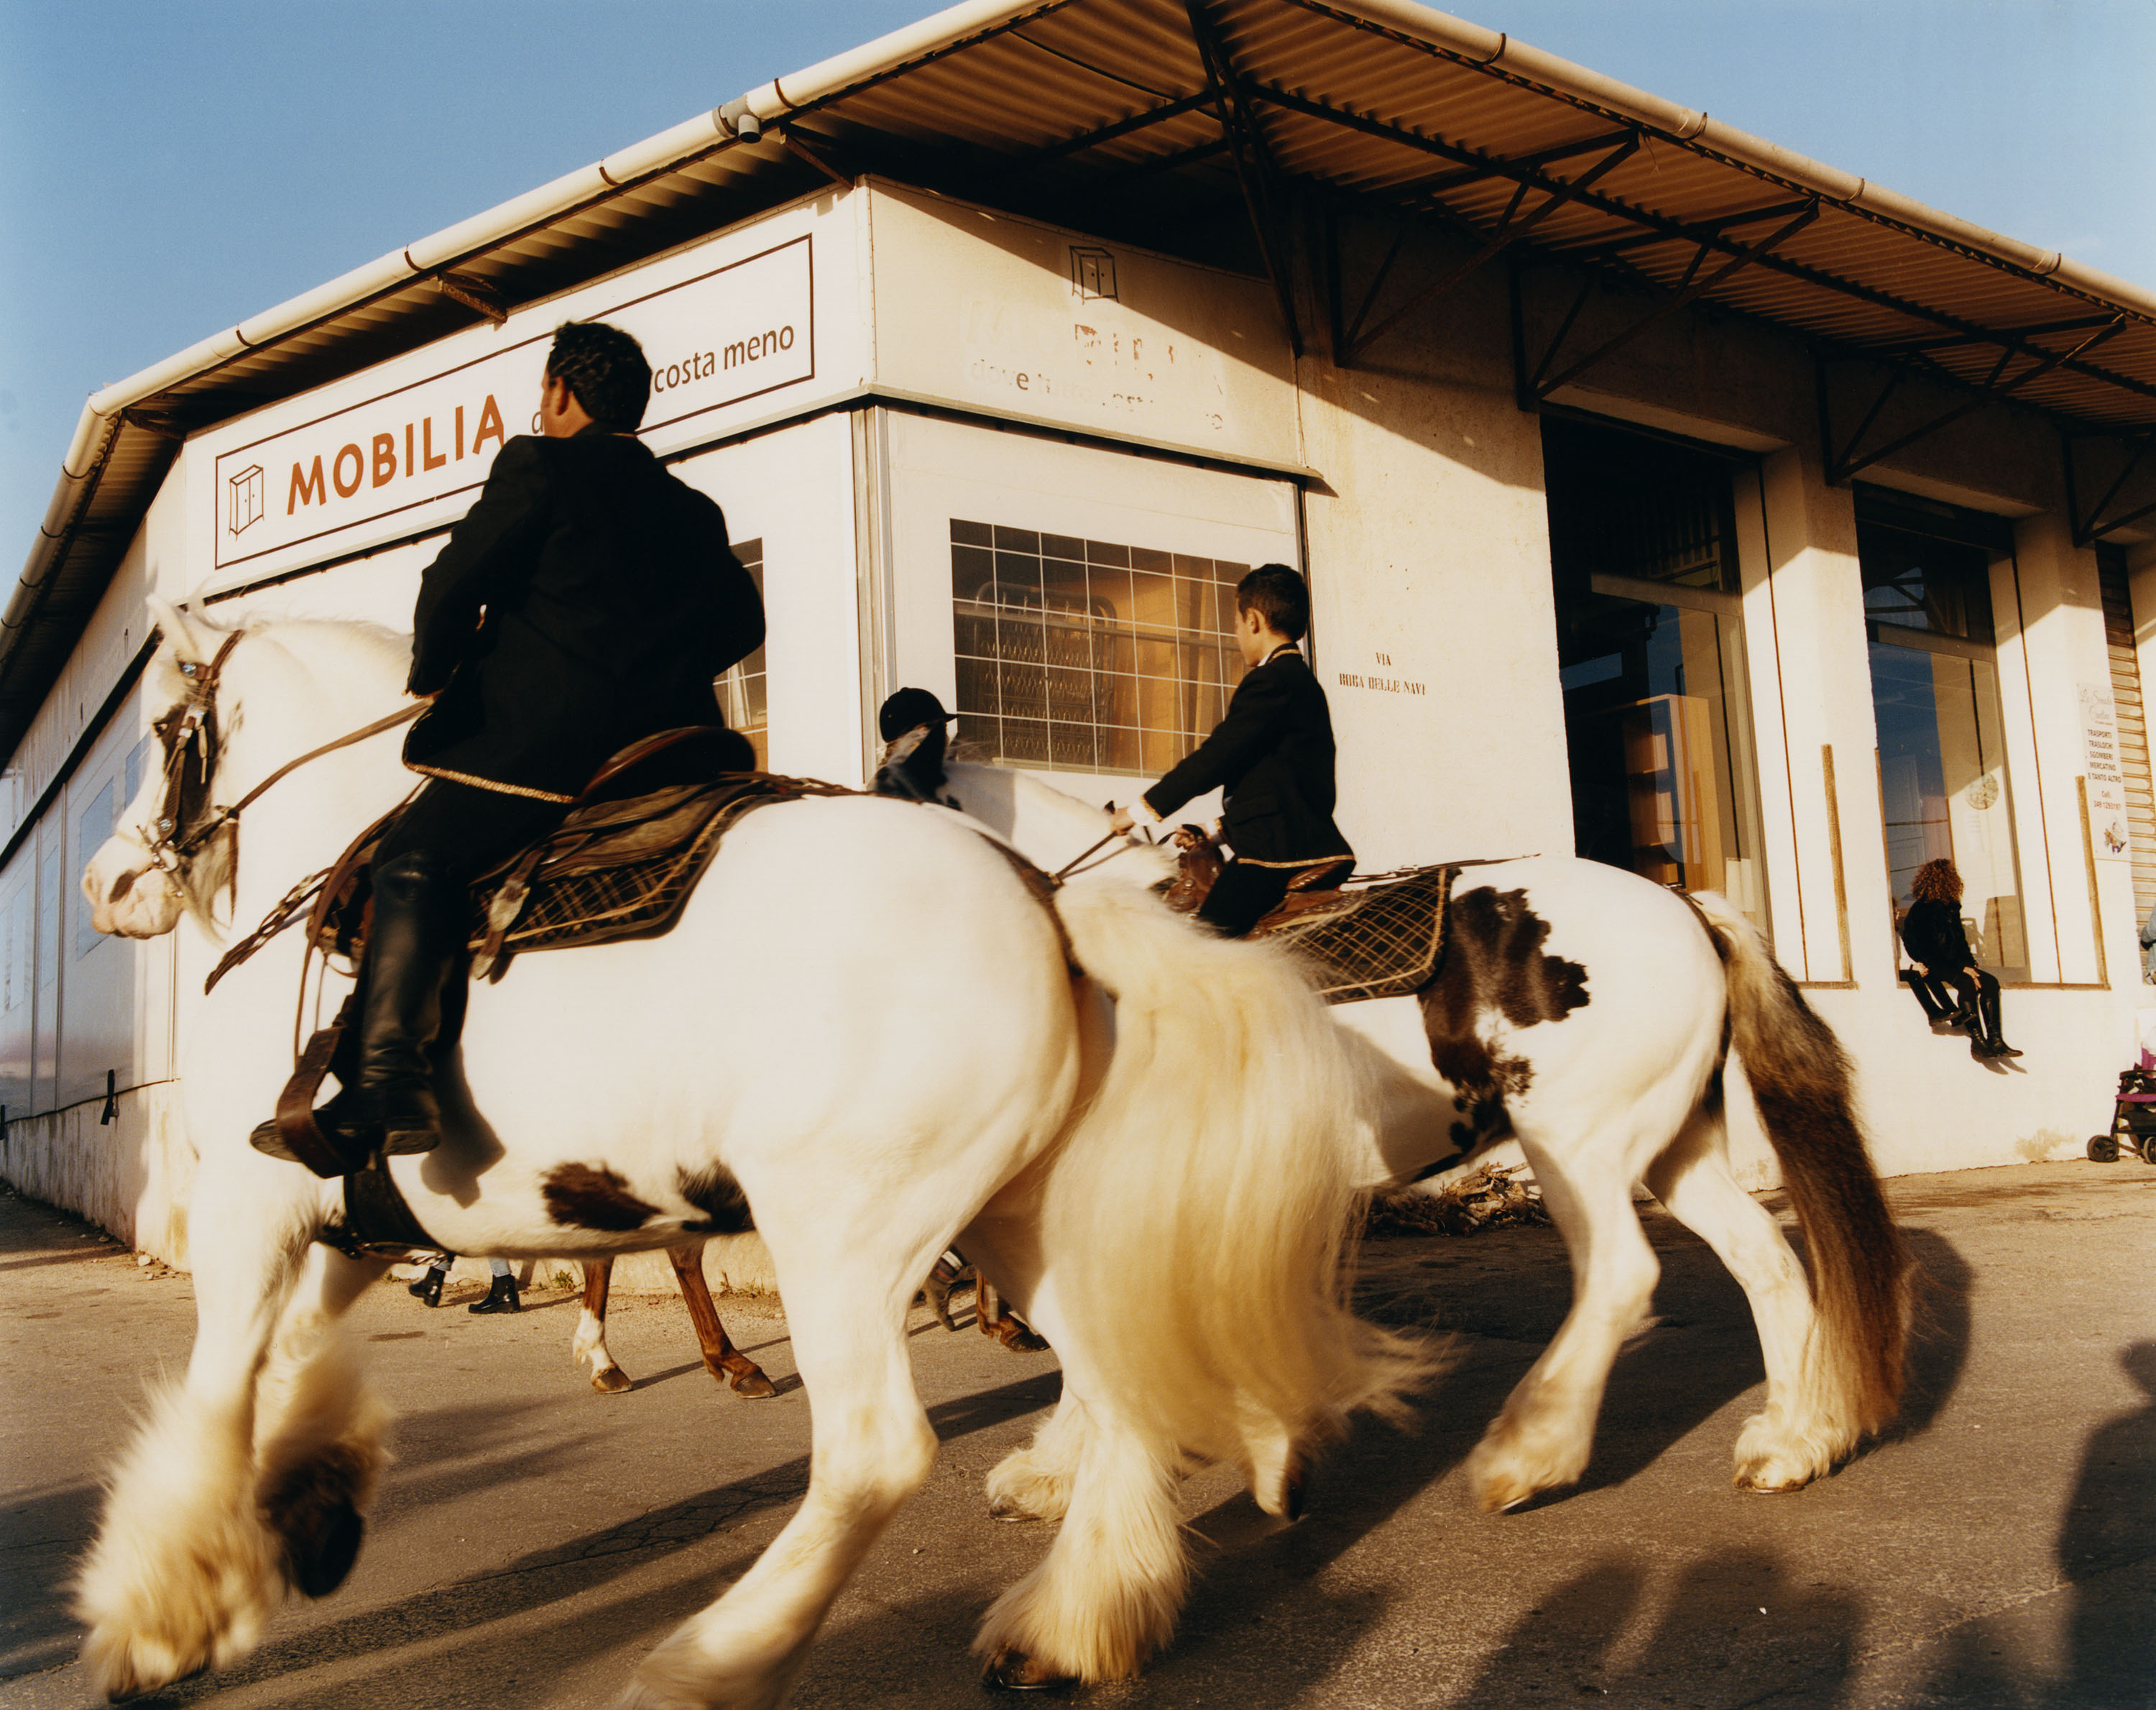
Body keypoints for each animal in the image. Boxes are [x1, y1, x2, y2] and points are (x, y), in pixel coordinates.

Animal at [71, 608, 1432, 1699]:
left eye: (166, 723)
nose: (105, 882)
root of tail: (1047, 901)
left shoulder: (253, 1206)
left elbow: (218, 1390)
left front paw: (160, 1609)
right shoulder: (352, 1225)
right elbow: (292, 1365)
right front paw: (300, 1504)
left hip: (842, 1227)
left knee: (876, 1452)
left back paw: (712, 1660)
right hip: (1018, 1219)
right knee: (1115, 1379)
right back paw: (1073, 1621)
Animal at [944, 768, 1906, 1518]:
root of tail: (1683, 904)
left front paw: (1058, 1466)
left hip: (1578, 1145)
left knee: (1622, 1275)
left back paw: (1528, 1455)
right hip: (1673, 1146)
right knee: (1763, 1258)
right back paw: (1794, 1443)